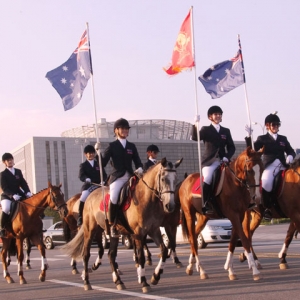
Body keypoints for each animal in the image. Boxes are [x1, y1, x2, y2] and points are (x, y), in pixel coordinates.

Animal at [62, 157, 182, 292]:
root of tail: (90, 195)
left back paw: (118, 281)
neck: (146, 198)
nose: (170, 206)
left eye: (175, 179)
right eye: (163, 179)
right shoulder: (138, 234)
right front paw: (144, 282)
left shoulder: (154, 230)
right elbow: (141, 257)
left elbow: (164, 250)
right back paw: (87, 282)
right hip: (90, 230)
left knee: (111, 255)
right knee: (86, 254)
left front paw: (155, 276)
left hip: (113, 233)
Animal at [177, 148, 264, 282]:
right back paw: (202, 271)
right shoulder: (233, 215)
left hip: (203, 217)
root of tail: (186, 180)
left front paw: (230, 270)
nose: (257, 198)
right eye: (249, 170)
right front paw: (255, 271)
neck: (235, 183)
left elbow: (233, 241)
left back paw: (191, 266)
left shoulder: (240, 215)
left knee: (194, 237)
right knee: (193, 239)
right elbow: (244, 239)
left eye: (262, 169)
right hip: (189, 214)